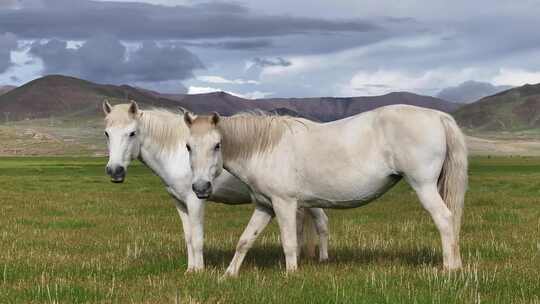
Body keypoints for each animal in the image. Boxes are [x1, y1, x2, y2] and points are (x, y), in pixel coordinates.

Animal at [102, 101, 330, 272]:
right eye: (106, 133)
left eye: (132, 133)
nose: (115, 171)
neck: (177, 152)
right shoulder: (180, 203)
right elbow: (188, 237)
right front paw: (190, 269)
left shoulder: (195, 200)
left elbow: (197, 238)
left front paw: (199, 271)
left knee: (320, 223)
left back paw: (322, 258)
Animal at [184, 105, 466, 278]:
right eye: (188, 146)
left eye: (217, 145)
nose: (200, 188)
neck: (264, 148)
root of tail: (438, 116)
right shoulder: (265, 206)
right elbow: (245, 240)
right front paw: (228, 274)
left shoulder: (284, 204)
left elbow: (289, 242)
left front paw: (291, 274)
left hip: (424, 186)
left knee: (444, 219)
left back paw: (449, 268)